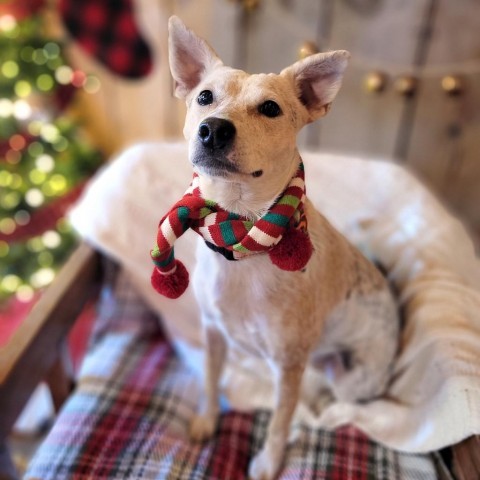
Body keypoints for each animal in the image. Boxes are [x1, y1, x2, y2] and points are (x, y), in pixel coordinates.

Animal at [154, 16, 398, 480]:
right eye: (204, 96)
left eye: (270, 109)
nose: (214, 128)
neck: (239, 231)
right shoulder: (213, 333)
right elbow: (210, 381)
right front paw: (207, 420)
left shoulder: (287, 364)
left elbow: (281, 420)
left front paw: (269, 461)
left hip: (350, 377)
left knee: (339, 408)